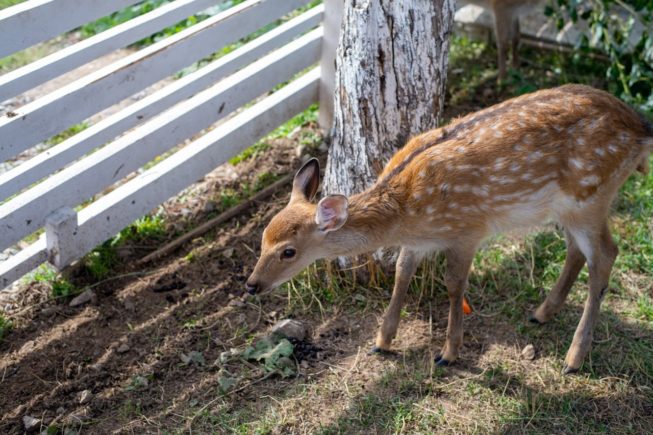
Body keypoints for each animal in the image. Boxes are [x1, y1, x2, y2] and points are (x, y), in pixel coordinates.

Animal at [247, 85, 648, 374]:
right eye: (263, 238)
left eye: (288, 251)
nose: (252, 284)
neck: (406, 213)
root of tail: (643, 133)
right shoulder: (420, 240)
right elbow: (401, 272)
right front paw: (382, 340)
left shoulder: (466, 228)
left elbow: (454, 285)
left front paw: (448, 353)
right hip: (569, 208)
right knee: (578, 251)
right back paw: (542, 313)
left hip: (591, 196)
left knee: (606, 256)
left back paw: (573, 359)